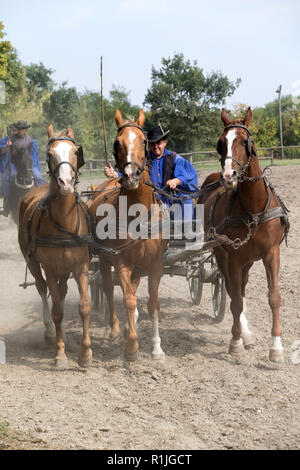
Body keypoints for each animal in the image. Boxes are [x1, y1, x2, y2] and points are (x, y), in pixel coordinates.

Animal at [18, 125, 92, 368]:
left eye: (75, 152)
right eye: (50, 154)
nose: (65, 182)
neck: (63, 223)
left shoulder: (80, 268)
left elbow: (84, 307)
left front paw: (85, 353)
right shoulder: (49, 268)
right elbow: (57, 310)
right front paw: (60, 355)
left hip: (65, 270)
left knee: (61, 291)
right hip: (32, 261)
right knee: (43, 290)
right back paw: (51, 332)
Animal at [89, 108, 169, 362]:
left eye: (143, 141)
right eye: (117, 142)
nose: (131, 175)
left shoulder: (155, 265)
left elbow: (153, 304)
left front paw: (156, 348)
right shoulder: (121, 261)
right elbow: (129, 300)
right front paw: (131, 346)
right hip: (104, 259)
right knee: (107, 287)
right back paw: (116, 330)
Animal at [200, 107, 290, 364]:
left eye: (244, 141)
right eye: (221, 143)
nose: (228, 176)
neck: (254, 208)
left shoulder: (271, 253)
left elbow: (274, 297)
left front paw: (276, 348)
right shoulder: (234, 256)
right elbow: (236, 300)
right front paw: (235, 342)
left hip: (249, 260)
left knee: (241, 287)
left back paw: (247, 333)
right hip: (222, 254)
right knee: (233, 291)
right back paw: (241, 334)